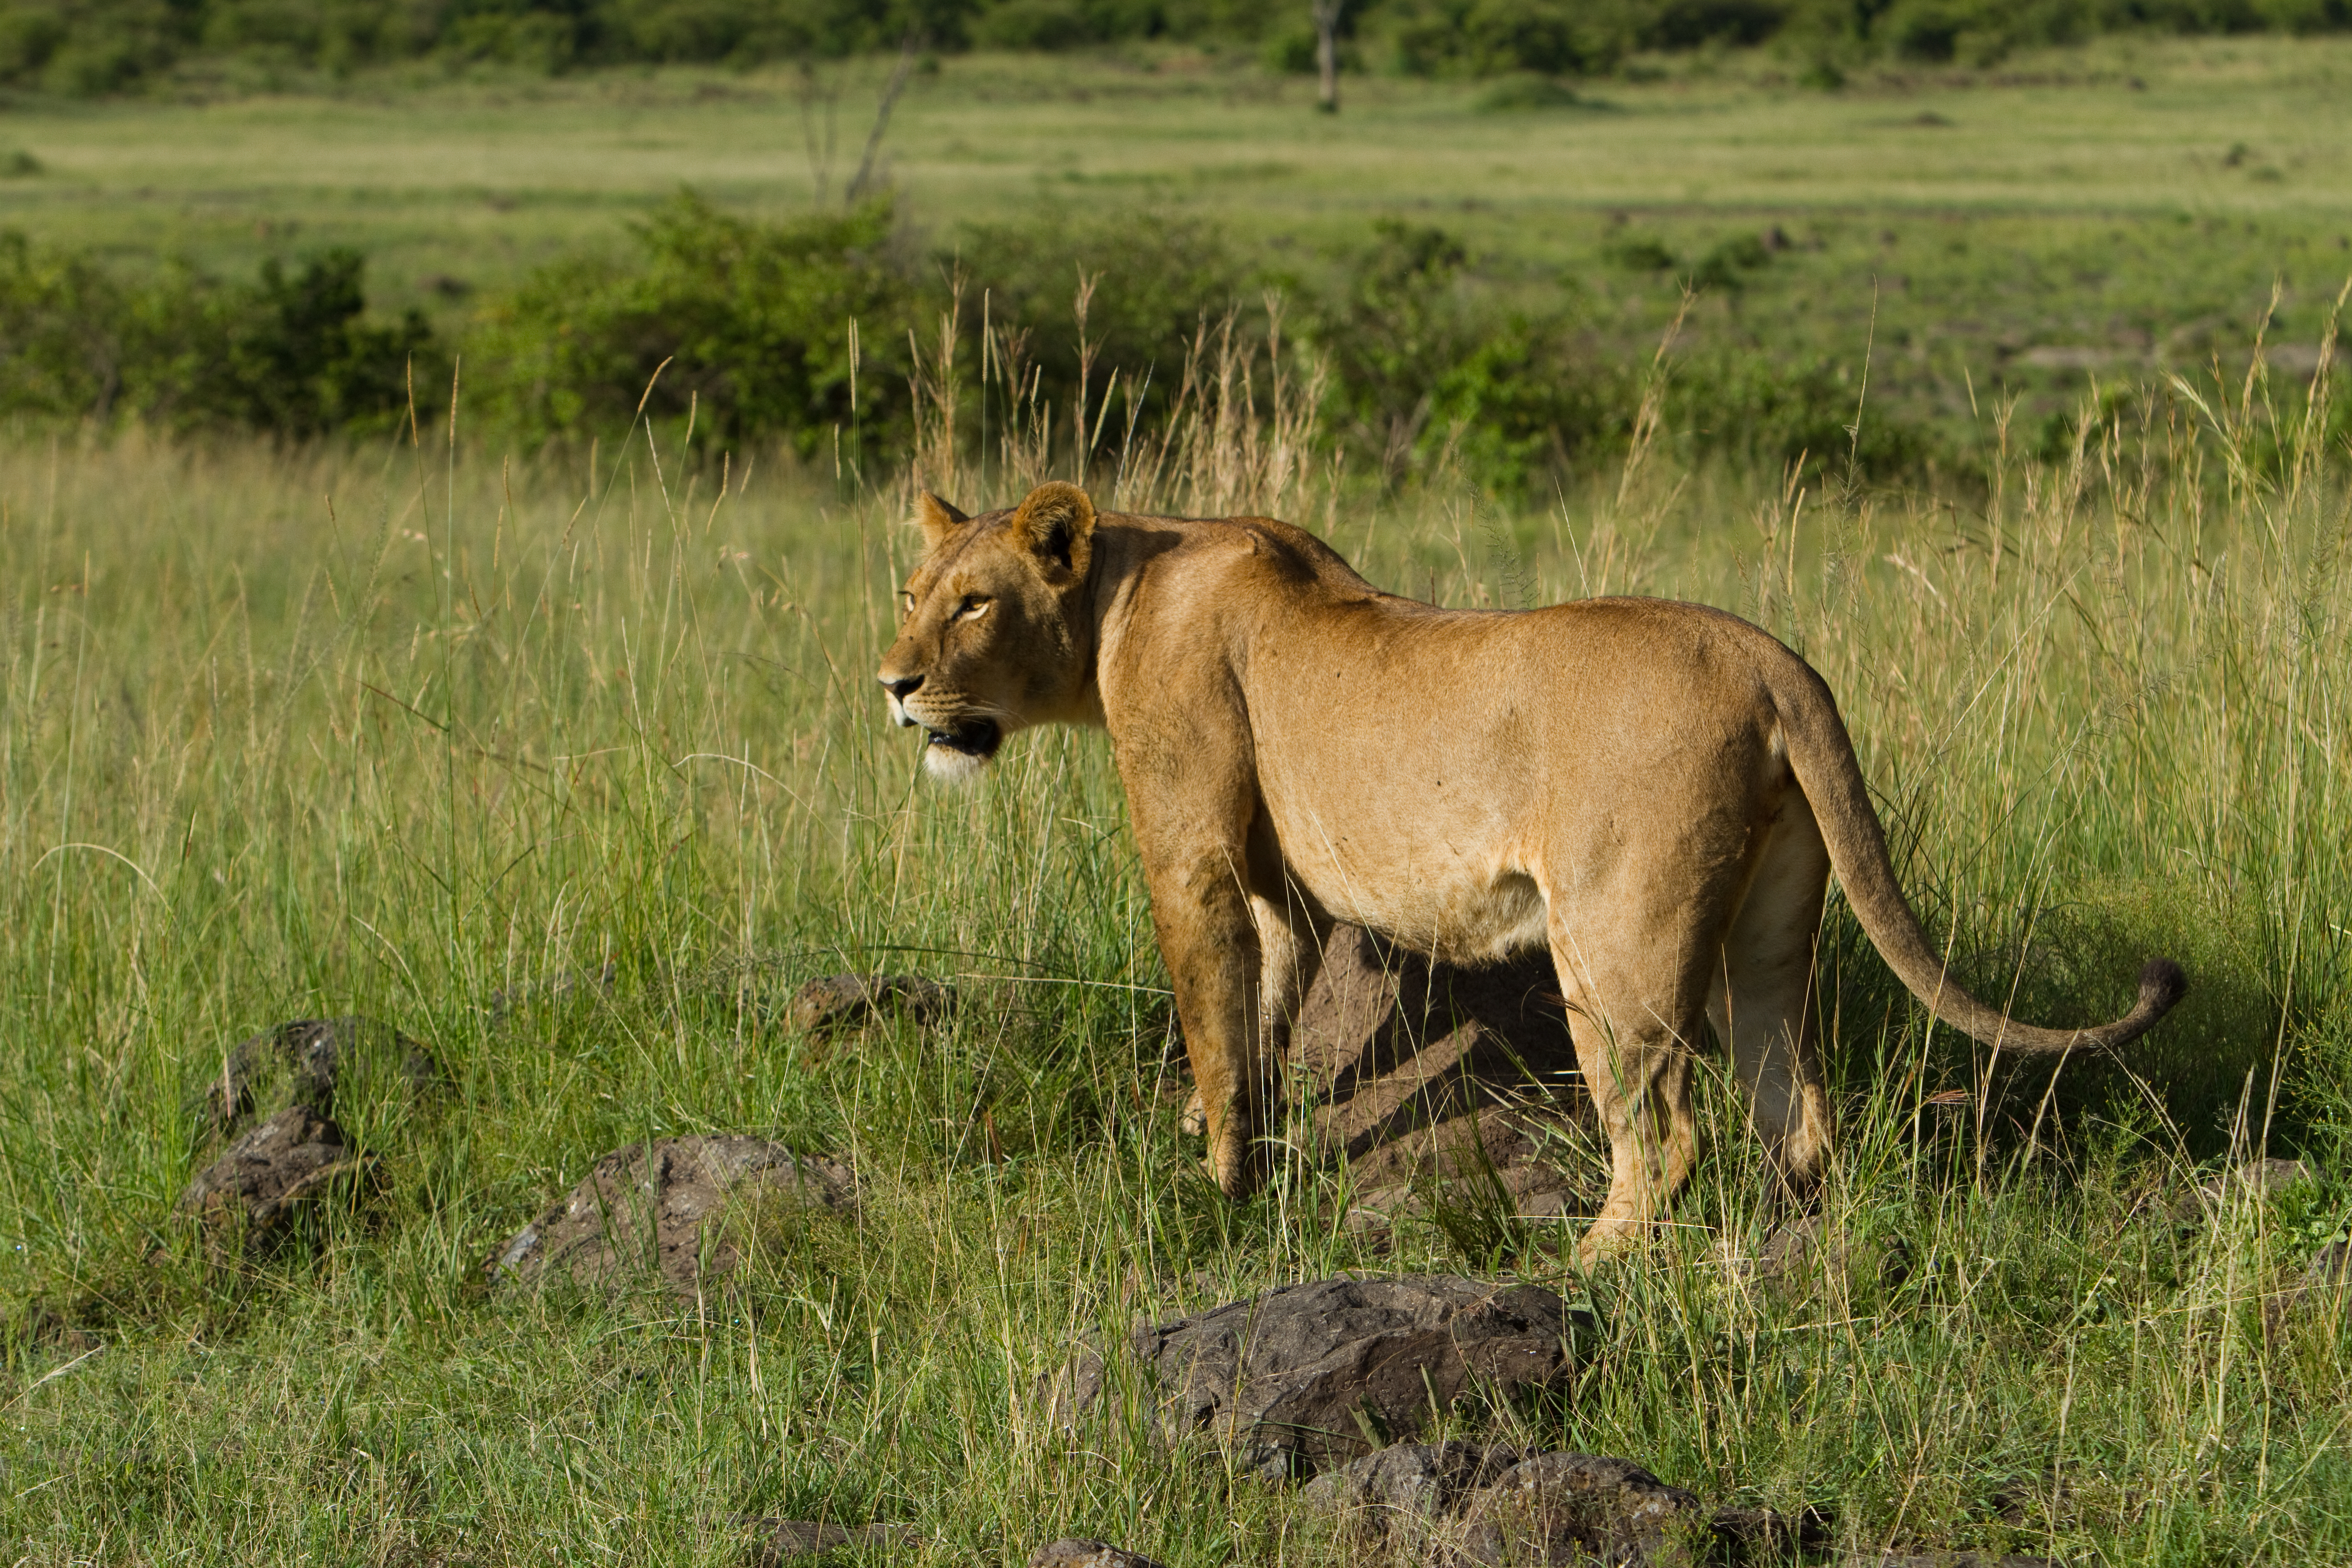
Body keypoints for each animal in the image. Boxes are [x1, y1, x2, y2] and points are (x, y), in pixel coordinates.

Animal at [876, 481, 2186, 1255]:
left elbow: (1208, 1011)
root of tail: (1771, 660)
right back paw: (1776, 1247)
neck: (1123, 585)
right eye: (910, 593)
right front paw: (1247, 1137)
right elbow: (1265, 1015)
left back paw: (1590, 1268)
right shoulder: (1284, 891)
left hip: (1611, 940)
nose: (892, 683)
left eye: (975, 604)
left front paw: (1216, 1184)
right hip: (1767, 930)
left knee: (1664, 1136)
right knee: (1797, 1106)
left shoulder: (1190, 850)